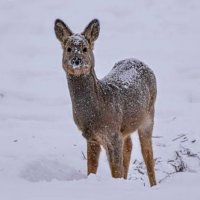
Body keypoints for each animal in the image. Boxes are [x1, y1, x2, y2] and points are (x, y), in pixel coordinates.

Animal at [54, 18, 157, 186]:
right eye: (68, 49)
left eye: (84, 48)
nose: (76, 61)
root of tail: (137, 60)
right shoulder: (92, 137)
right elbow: (91, 168)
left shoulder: (112, 134)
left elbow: (115, 171)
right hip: (126, 126)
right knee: (129, 146)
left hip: (149, 115)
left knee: (147, 151)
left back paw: (153, 184)